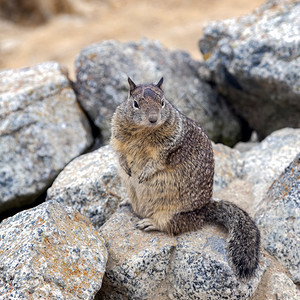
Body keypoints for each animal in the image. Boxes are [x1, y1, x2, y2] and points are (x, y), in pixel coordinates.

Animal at [110, 77, 260, 278]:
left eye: (162, 102)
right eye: (135, 104)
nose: (153, 119)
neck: (143, 130)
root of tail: (204, 210)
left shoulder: (169, 146)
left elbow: (157, 161)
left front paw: (144, 174)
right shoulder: (117, 134)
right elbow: (118, 151)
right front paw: (126, 167)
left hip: (171, 214)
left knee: (172, 226)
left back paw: (149, 223)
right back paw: (127, 202)